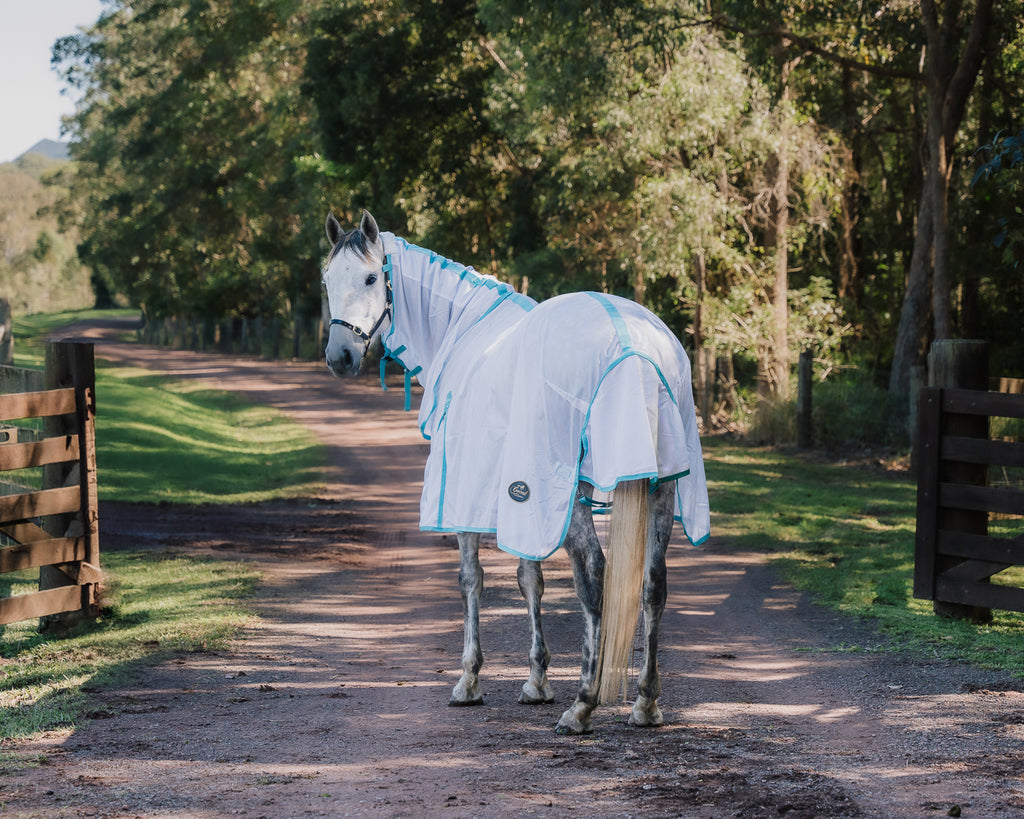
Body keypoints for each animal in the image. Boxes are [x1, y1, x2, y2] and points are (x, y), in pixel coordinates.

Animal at [321, 210, 710, 735]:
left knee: (594, 579)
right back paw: (645, 704)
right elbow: (531, 578)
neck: (463, 330)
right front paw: (536, 680)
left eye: (368, 278)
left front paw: (469, 681)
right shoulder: (524, 502)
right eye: (327, 281)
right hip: (661, 486)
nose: (339, 357)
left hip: (573, 491)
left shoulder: (472, 494)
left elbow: (472, 579)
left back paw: (582, 705)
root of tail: (632, 345)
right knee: (652, 585)